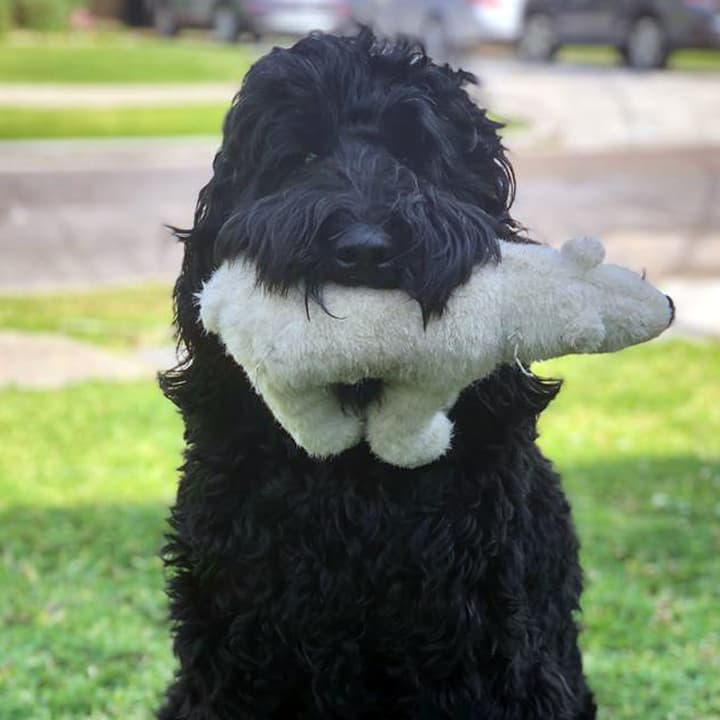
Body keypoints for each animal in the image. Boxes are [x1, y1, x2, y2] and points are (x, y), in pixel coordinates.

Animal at [160, 29, 600, 720]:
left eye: (416, 157)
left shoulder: (490, 650)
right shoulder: (230, 649)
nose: (363, 247)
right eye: (303, 153)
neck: (355, 474)